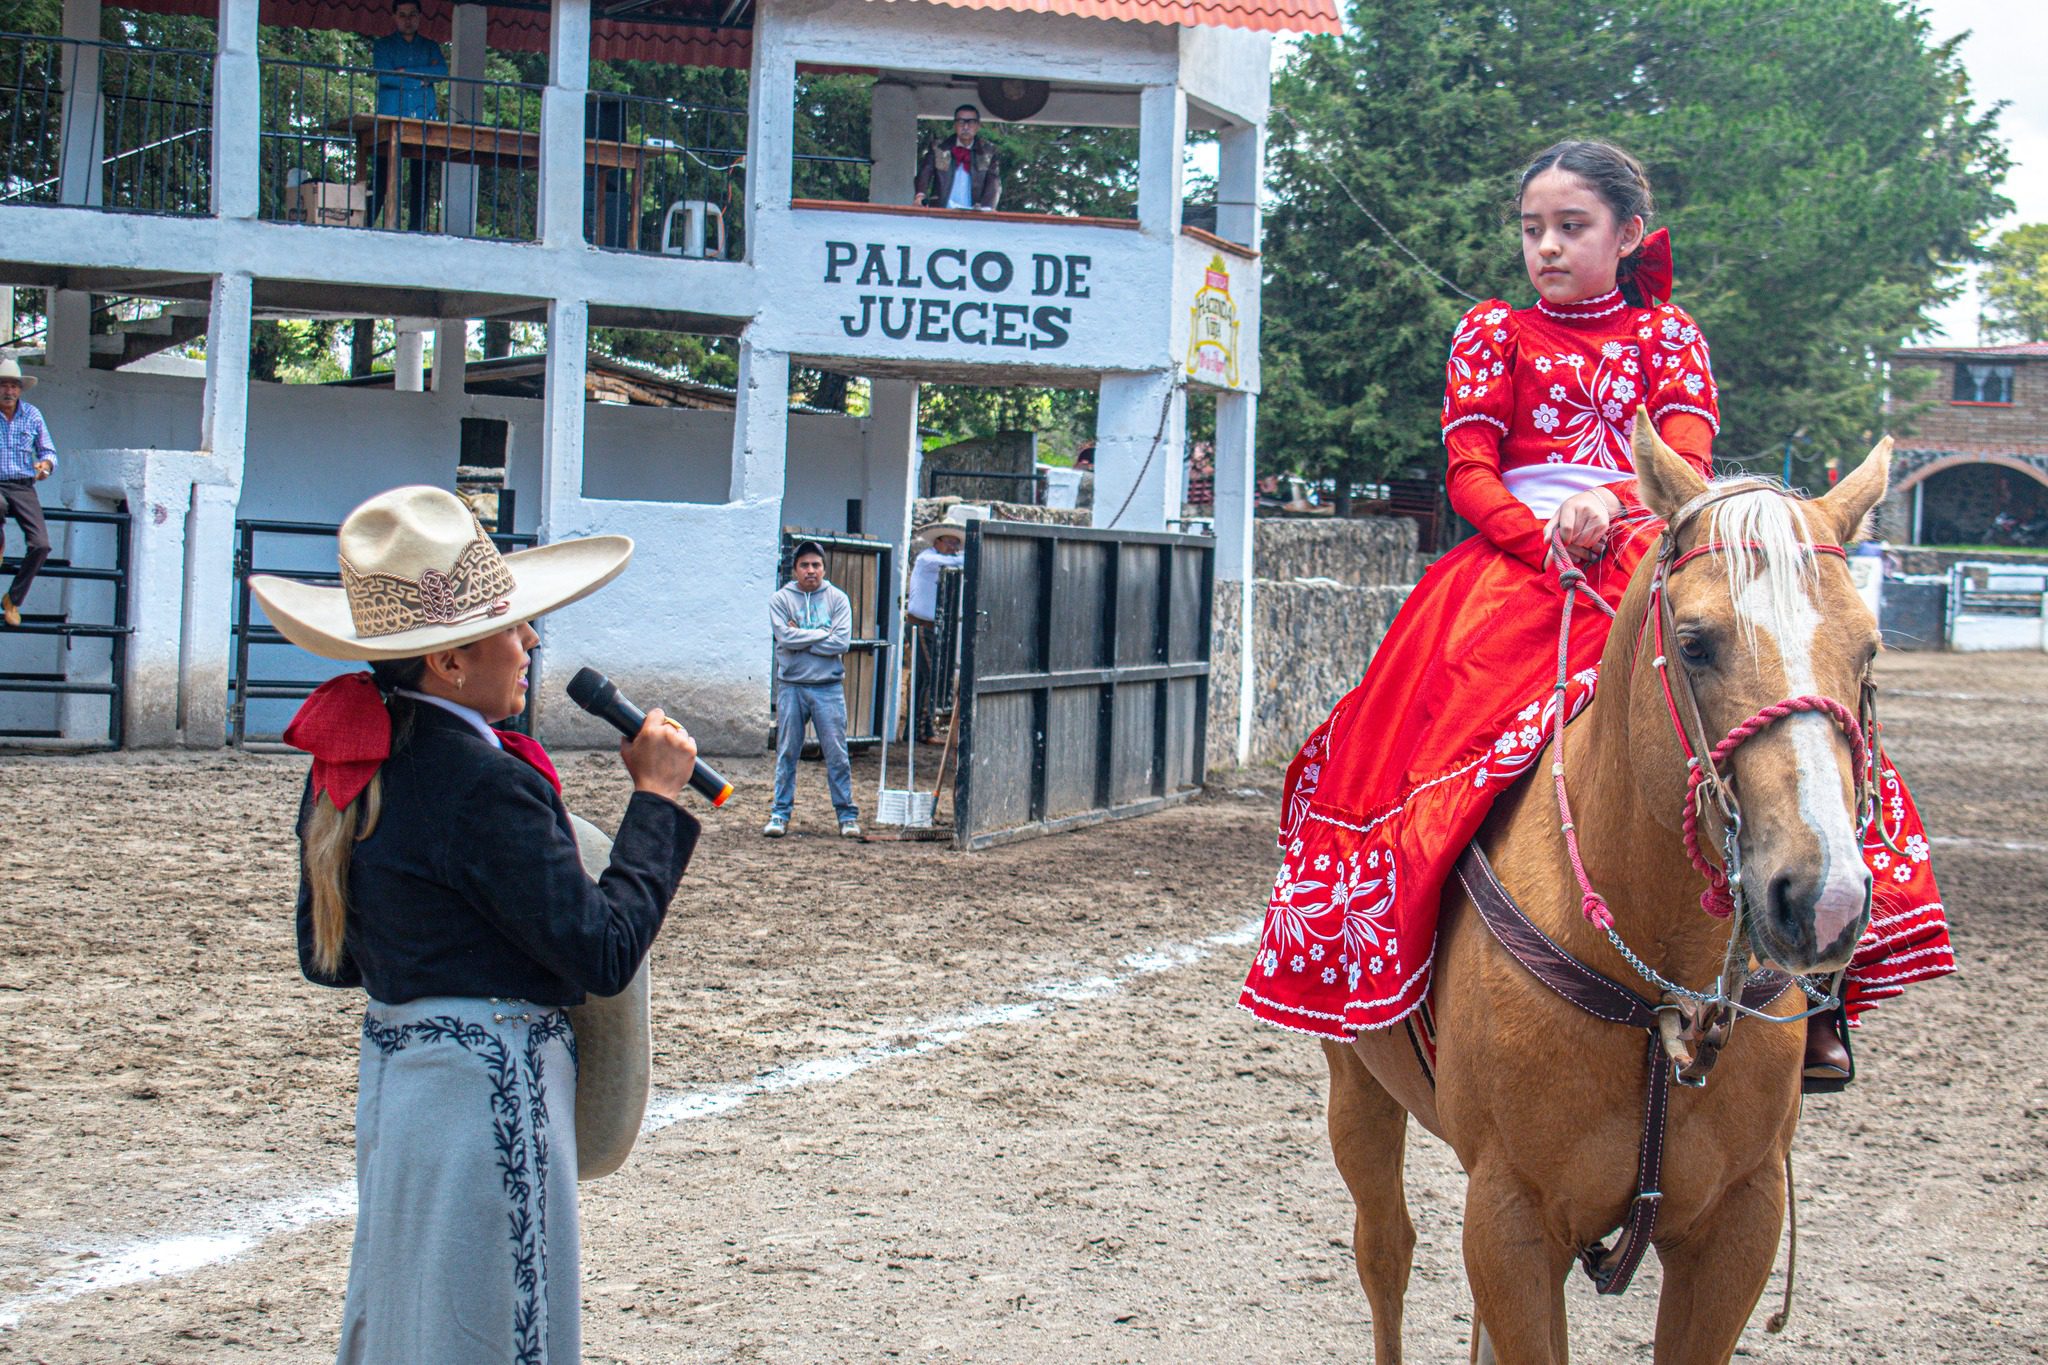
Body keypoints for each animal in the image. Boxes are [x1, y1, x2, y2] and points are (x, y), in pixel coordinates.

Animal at [1335, 411, 1892, 1358]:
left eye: (1868, 648)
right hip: (1358, 1087)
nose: (1822, 895)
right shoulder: (1512, 1221)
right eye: (1695, 641)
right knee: (1386, 1255)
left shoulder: (1740, 1225)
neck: (1665, 986)